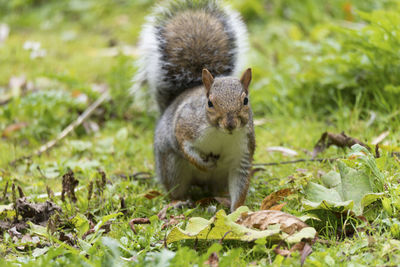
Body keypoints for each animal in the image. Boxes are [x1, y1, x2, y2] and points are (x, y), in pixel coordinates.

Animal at [133, 0, 255, 214]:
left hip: (219, 179)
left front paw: (237, 212)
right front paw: (204, 164)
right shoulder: (186, 124)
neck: (221, 134)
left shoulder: (243, 152)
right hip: (171, 167)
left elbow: (240, 184)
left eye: (246, 101)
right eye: (210, 103)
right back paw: (180, 201)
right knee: (176, 189)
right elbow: (184, 145)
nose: (230, 124)